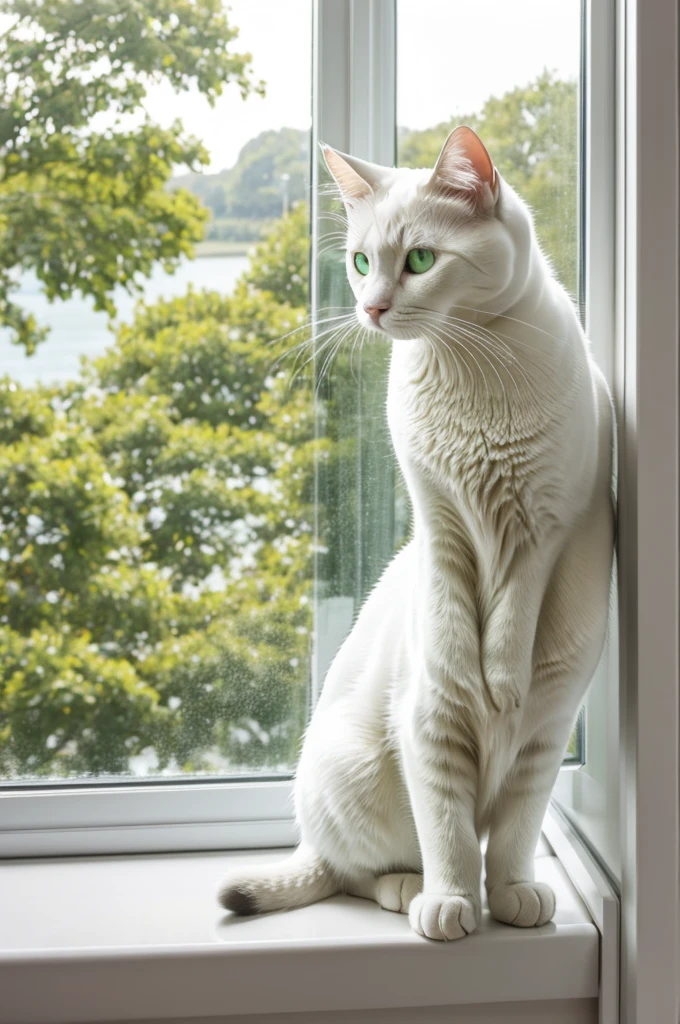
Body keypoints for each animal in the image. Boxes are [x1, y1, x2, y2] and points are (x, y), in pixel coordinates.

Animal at [220, 123, 614, 937]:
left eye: (422, 261)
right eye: (361, 262)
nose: (372, 308)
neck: (473, 372)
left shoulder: (543, 527)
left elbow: (513, 827)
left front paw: (512, 895)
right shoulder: (440, 522)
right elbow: (450, 832)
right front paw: (454, 904)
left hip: (545, 731)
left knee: (503, 825)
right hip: (370, 761)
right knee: (356, 869)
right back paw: (412, 892)